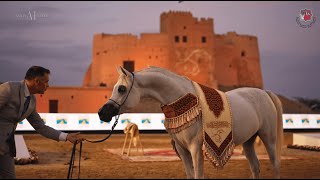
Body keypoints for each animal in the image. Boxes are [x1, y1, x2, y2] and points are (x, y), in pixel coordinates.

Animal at [98, 66, 282, 179]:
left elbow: (198, 175)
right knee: (255, 167)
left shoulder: (195, 148)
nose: (102, 113)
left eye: (121, 88)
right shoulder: (182, 149)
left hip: (269, 139)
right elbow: (190, 175)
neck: (183, 100)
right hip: (248, 142)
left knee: (275, 165)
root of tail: (265, 93)